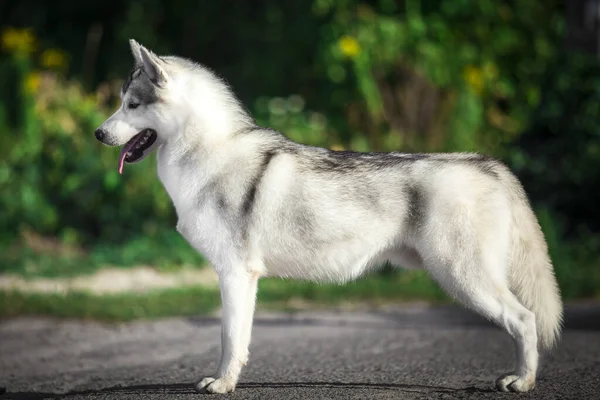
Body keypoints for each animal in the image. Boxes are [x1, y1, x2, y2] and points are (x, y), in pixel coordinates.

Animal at [96, 40, 564, 394]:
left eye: (132, 105)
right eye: (120, 103)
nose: (98, 133)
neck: (208, 154)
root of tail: (490, 165)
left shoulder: (234, 274)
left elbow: (230, 339)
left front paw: (223, 384)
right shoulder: (241, 279)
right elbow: (239, 340)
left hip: (464, 279)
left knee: (525, 320)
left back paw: (522, 382)